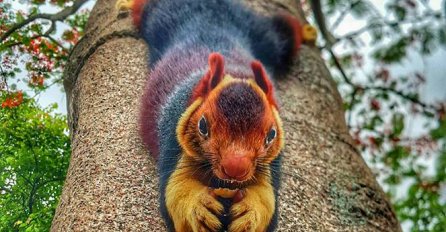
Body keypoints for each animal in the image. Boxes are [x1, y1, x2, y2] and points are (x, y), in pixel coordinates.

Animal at [116, 0, 314, 231]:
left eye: (271, 135)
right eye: (202, 126)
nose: (235, 168)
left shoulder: (270, 165)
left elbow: (266, 200)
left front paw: (250, 212)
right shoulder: (174, 141)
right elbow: (176, 191)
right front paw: (198, 206)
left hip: (263, 34)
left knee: (283, 32)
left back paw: (307, 31)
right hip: (160, 16)